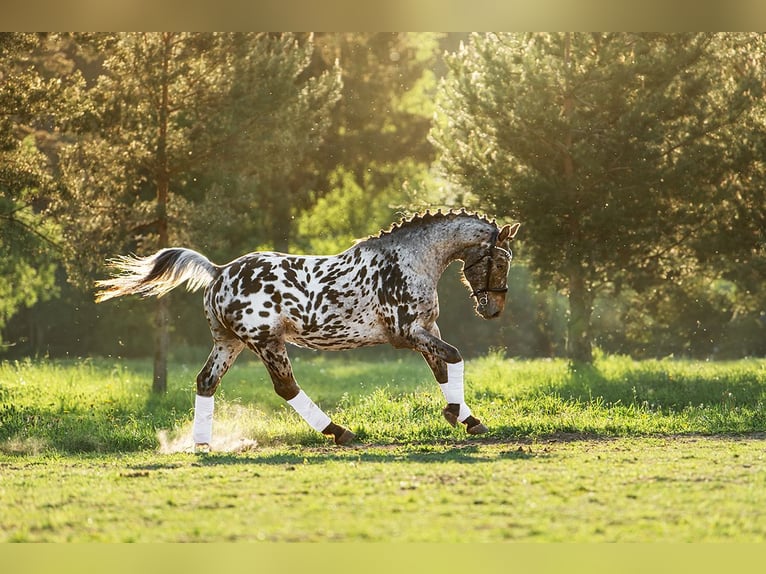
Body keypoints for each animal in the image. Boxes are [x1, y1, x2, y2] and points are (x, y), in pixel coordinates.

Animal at [95, 210, 520, 449]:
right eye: (501, 260)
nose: (494, 309)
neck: (411, 260)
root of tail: (219, 272)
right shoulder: (408, 333)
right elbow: (454, 358)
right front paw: (457, 414)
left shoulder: (426, 327)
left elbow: (443, 369)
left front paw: (466, 418)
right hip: (266, 342)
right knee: (286, 387)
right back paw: (338, 431)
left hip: (229, 343)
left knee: (206, 382)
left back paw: (201, 444)